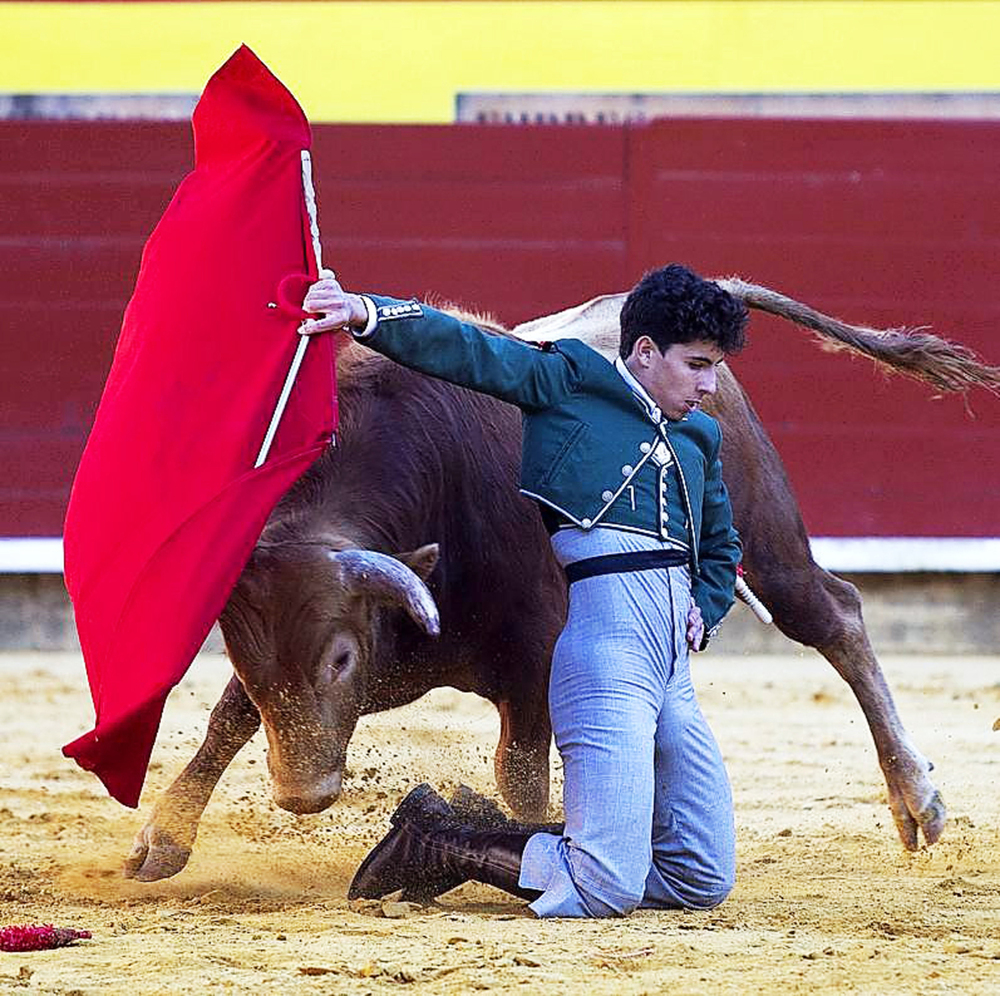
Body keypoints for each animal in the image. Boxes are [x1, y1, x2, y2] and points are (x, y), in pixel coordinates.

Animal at [125, 278, 1000, 880]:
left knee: (836, 615)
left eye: (341, 658)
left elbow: (520, 777)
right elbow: (229, 718)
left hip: (769, 536)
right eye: (245, 659)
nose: (304, 794)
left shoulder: (537, 663)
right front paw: (161, 839)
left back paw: (916, 802)